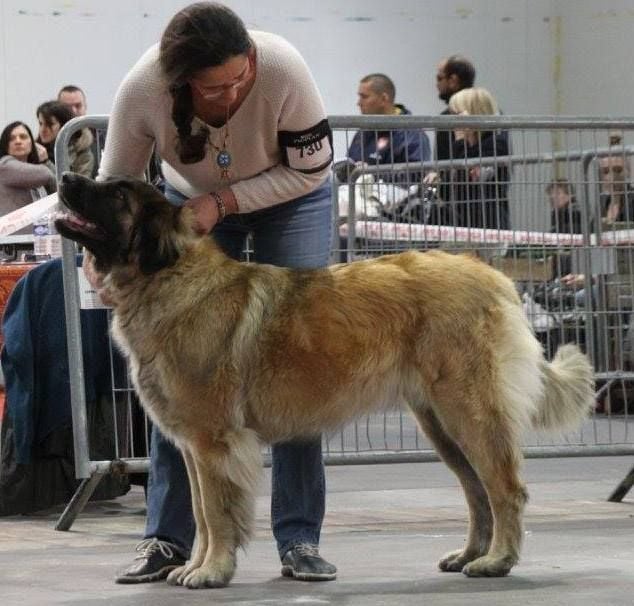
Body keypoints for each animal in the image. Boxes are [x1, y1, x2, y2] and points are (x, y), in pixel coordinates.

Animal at [54, 173, 592, 592]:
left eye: (117, 194)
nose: (64, 179)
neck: (166, 277)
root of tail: (493, 276)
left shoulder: (214, 442)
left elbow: (217, 511)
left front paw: (211, 571)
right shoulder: (192, 446)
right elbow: (203, 513)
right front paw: (195, 566)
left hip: (468, 411)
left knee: (505, 488)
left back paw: (497, 561)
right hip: (440, 422)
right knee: (477, 492)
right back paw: (469, 555)